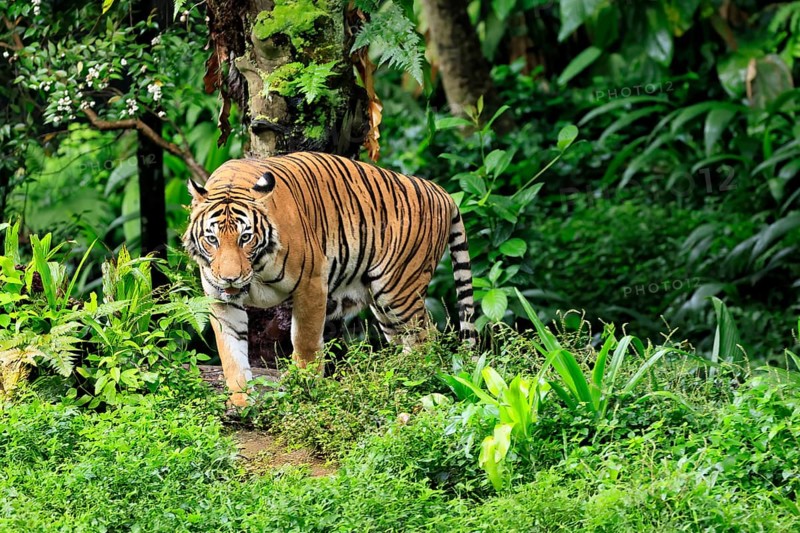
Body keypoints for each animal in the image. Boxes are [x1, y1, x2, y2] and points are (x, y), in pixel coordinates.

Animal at [183, 152, 475, 406]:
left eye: (245, 237)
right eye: (212, 239)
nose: (230, 278)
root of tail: (440, 192)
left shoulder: (311, 284)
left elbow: (305, 341)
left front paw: (304, 385)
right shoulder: (220, 300)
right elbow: (231, 351)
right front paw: (241, 400)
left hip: (398, 289)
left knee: (426, 336)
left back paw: (411, 381)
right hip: (384, 306)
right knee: (408, 338)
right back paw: (394, 375)